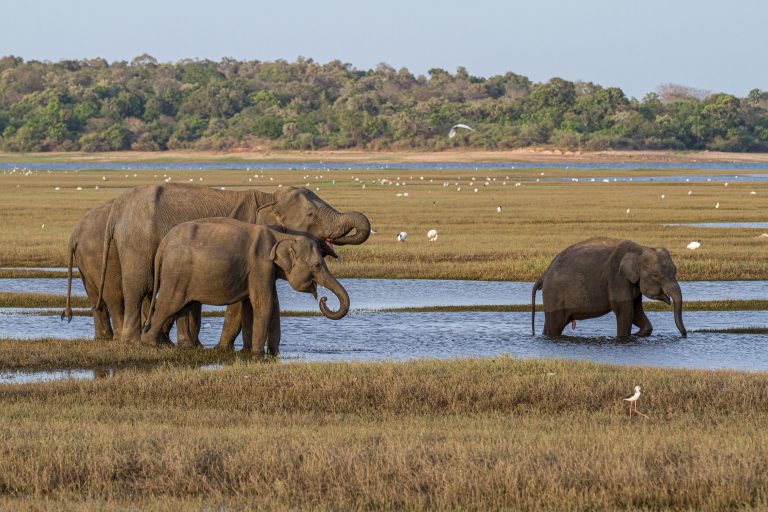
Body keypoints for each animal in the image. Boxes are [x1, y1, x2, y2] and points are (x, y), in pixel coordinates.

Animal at [141, 218, 349, 353]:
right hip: (176, 272)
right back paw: (150, 343)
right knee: (170, 303)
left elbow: (266, 305)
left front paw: (268, 353)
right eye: (317, 266)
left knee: (183, 305)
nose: (324, 298)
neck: (281, 236)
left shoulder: (266, 271)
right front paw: (257, 354)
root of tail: (165, 241)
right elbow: (263, 303)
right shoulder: (260, 264)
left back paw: (187, 347)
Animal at [531, 237, 687, 337]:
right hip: (554, 294)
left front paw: (639, 334)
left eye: (675, 271)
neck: (641, 248)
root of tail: (544, 275)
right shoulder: (617, 277)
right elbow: (624, 309)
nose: (684, 336)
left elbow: (635, 310)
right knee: (555, 325)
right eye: (655, 275)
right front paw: (624, 337)